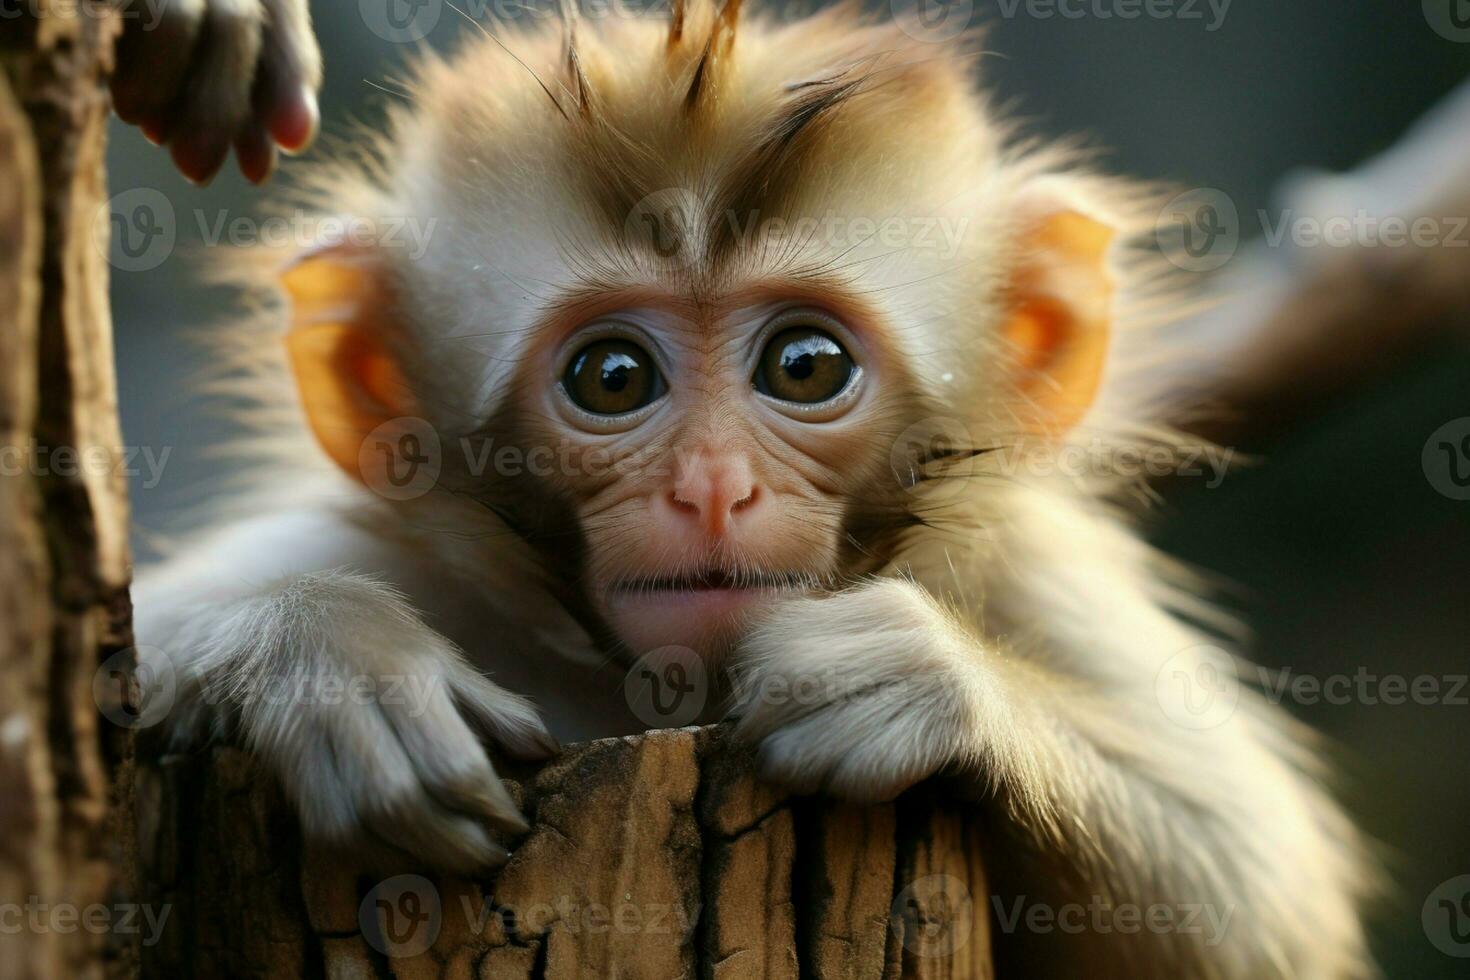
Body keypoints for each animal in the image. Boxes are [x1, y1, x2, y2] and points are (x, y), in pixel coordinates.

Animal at [123, 3, 1364, 975]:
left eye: (805, 365)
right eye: (612, 377)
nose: (713, 489)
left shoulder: (1022, 566)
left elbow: (1257, 901)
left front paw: (925, 679)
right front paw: (335, 661)